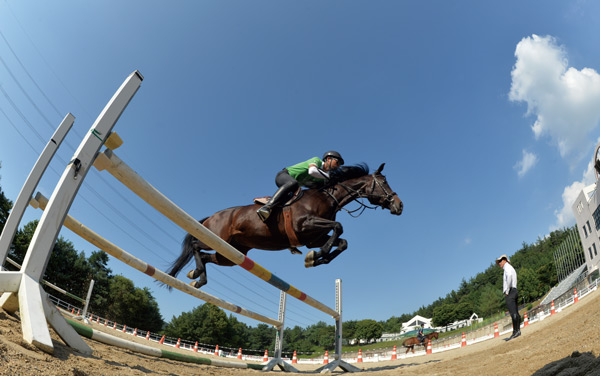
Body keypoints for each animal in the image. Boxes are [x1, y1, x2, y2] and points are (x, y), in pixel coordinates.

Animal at [166, 162, 406, 288]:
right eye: (384, 183)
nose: (400, 205)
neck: (327, 197)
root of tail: (212, 216)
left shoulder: (312, 237)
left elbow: (342, 241)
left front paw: (316, 258)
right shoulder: (305, 225)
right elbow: (338, 227)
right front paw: (319, 255)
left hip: (231, 253)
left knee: (208, 257)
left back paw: (197, 277)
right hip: (216, 237)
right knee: (196, 246)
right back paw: (198, 273)